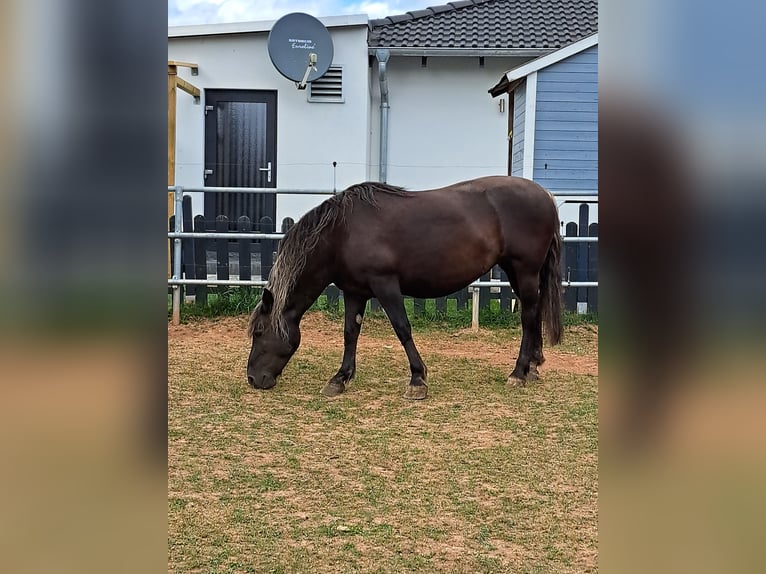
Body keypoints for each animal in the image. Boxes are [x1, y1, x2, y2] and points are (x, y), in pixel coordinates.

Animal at [248, 176, 564, 400]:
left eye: (260, 332)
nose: (252, 379)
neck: (342, 233)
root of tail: (545, 195)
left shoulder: (385, 284)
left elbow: (402, 328)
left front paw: (417, 379)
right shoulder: (355, 291)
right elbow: (350, 333)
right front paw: (340, 378)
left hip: (524, 270)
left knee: (528, 316)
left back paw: (518, 373)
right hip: (517, 271)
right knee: (534, 312)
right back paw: (533, 366)